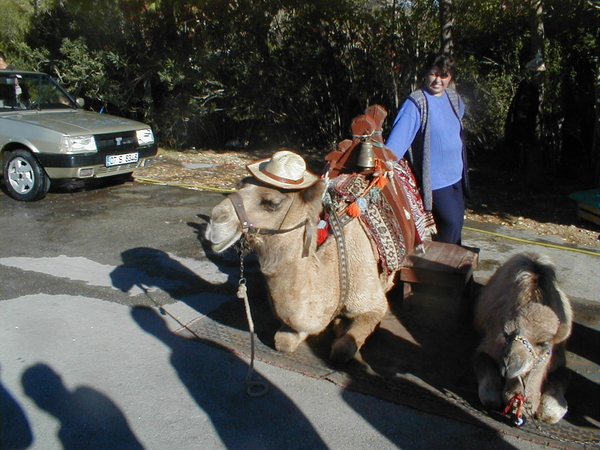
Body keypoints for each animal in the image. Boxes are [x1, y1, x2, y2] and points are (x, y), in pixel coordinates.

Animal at [474, 253, 572, 426]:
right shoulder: (487, 347)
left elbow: (551, 412)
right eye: (506, 334)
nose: (509, 364)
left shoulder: (559, 361)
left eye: (544, 343)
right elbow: (490, 397)